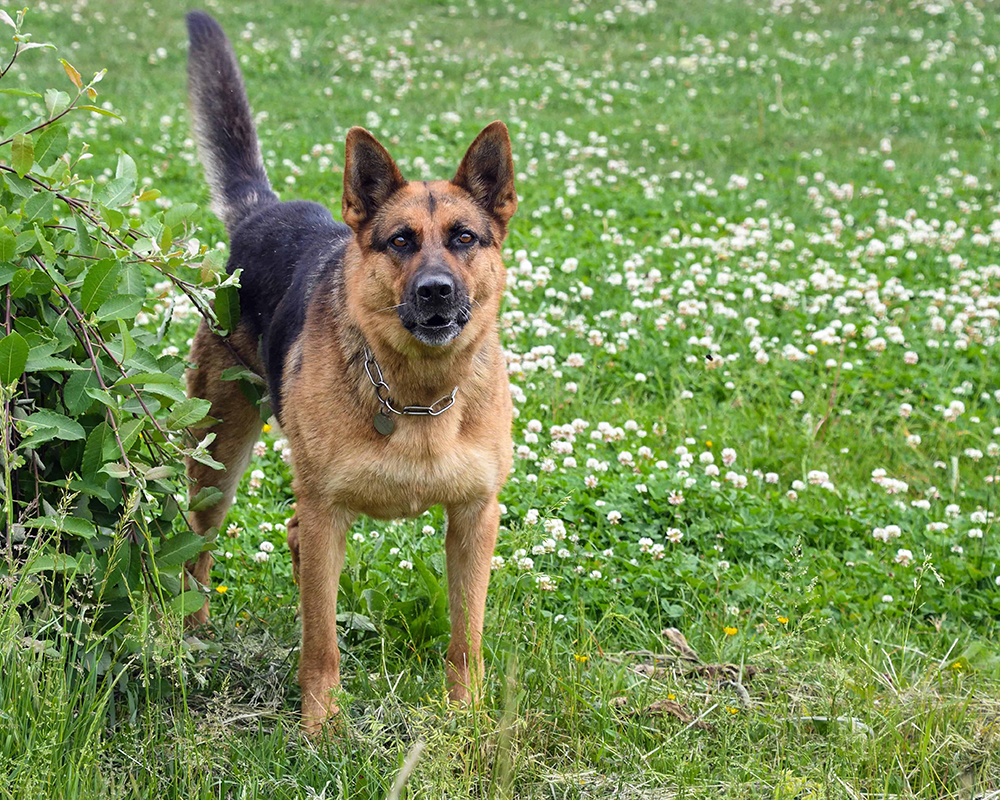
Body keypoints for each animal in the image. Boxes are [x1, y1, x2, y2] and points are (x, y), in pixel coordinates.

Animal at [182, 10, 516, 732]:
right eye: (400, 241)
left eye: (464, 238)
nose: (436, 292)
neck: (417, 394)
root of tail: (262, 211)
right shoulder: (328, 511)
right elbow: (321, 640)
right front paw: (320, 727)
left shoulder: (474, 519)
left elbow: (466, 638)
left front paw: (465, 719)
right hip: (218, 458)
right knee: (198, 549)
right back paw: (189, 636)